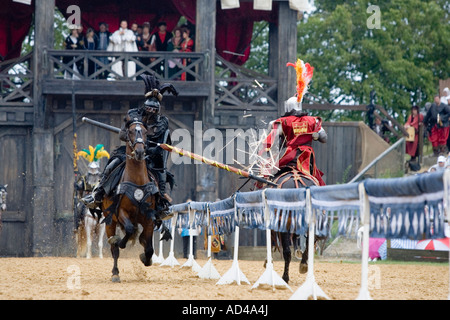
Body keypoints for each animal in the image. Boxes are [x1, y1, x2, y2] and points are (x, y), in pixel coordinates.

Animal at [102, 116, 160, 282]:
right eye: (130, 131)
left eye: (146, 132)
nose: (140, 152)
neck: (137, 182)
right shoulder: (121, 212)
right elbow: (128, 230)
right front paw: (120, 242)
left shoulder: (149, 218)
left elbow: (149, 248)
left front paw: (146, 258)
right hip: (110, 221)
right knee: (114, 249)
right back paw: (115, 273)